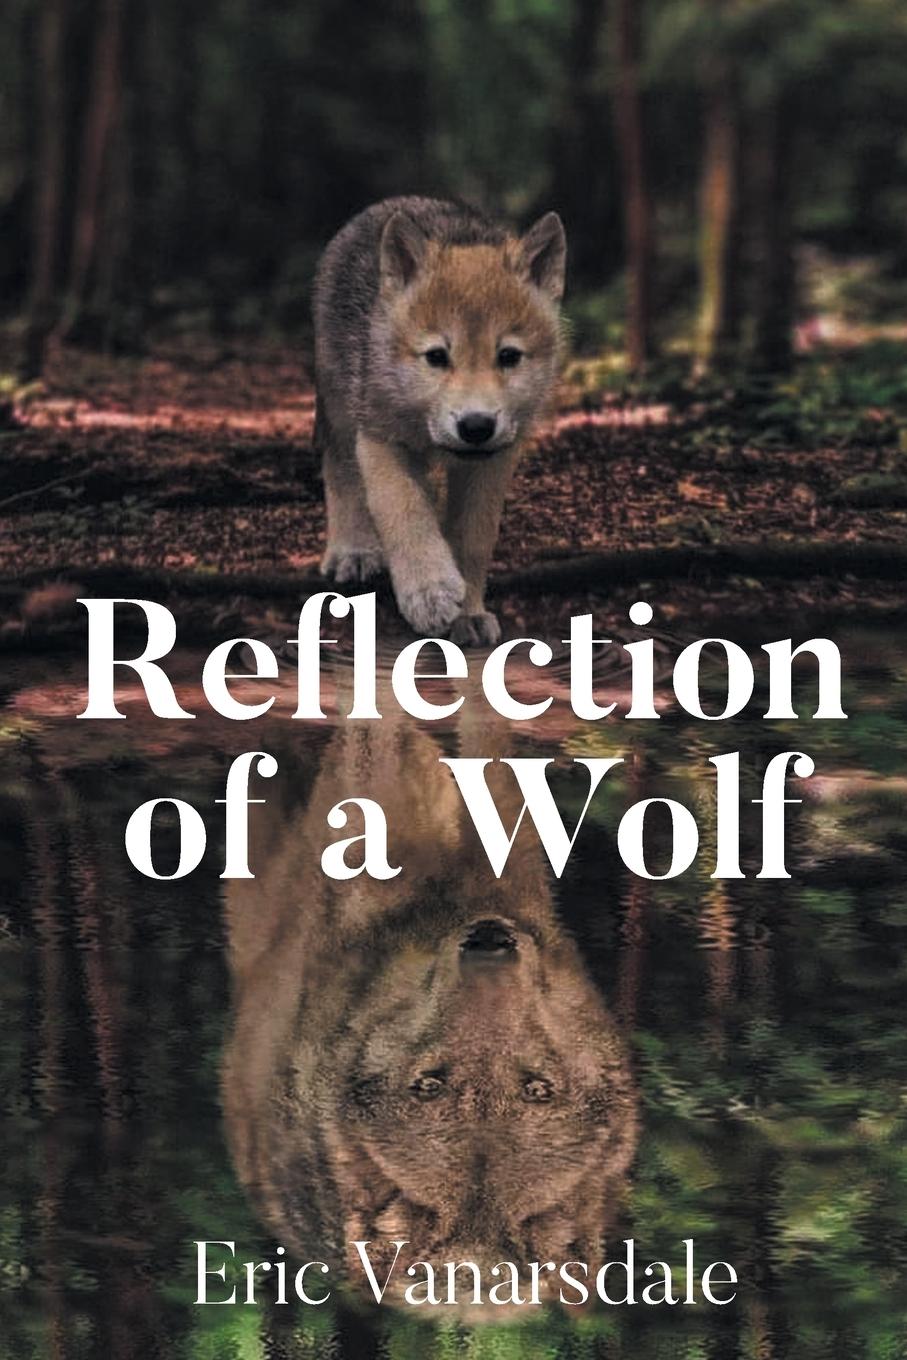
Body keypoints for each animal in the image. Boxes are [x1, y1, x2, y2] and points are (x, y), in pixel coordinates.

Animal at [313, 196, 567, 646]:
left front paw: (468, 612)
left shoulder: (494, 460)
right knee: (340, 472)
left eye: (508, 356)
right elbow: (404, 510)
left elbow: (471, 538)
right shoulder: (378, 437)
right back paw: (352, 551)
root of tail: (395, 202)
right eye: (436, 356)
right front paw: (428, 592)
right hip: (340, 408)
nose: (476, 426)